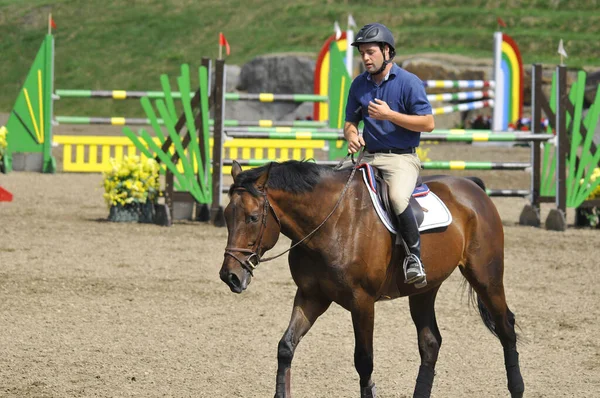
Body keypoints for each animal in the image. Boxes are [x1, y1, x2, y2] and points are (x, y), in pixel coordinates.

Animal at [218, 159, 524, 398]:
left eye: (253, 217)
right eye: (226, 216)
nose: (229, 276)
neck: (331, 222)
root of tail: (472, 187)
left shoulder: (362, 302)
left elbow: (364, 360)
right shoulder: (311, 296)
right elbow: (286, 347)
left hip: (486, 277)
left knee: (505, 326)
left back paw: (517, 388)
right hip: (425, 289)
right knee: (430, 342)